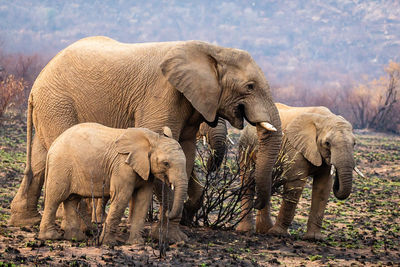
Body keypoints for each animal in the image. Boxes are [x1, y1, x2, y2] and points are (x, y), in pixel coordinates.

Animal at [38, 123, 188, 245]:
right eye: (166, 163)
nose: (167, 212)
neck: (153, 138)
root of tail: (53, 145)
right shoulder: (122, 165)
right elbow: (121, 196)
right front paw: (108, 243)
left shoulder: (146, 170)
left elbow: (143, 200)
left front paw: (136, 244)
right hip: (61, 166)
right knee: (55, 197)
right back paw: (51, 237)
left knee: (72, 200)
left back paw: (76, 238)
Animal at [236, 103, 358, 241]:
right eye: (327, 143)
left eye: (354, 143)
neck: (324, 118)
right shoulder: (294, 147)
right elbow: (295, 184)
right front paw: (278, 234)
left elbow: (323, 186)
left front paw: (314, 238)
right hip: (246, 146)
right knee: (248, 180)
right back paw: (247, 231)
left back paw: (264, 230)